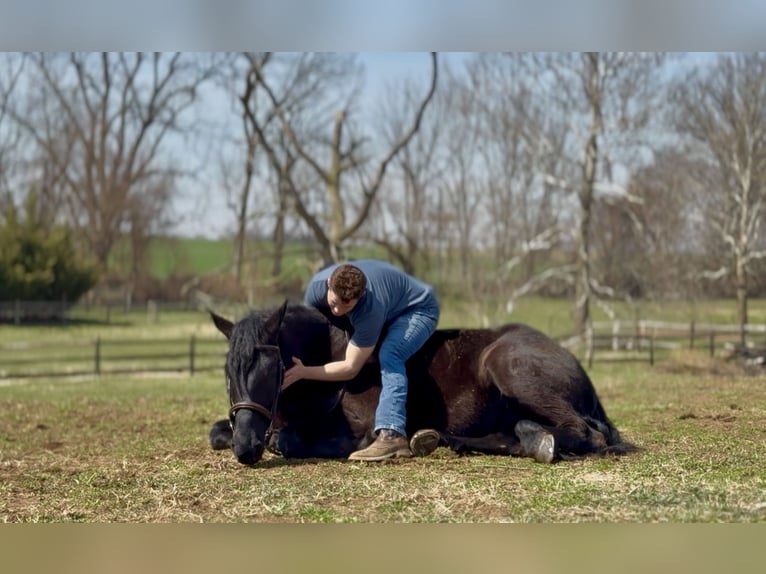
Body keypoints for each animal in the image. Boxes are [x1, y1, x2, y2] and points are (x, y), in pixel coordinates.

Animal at [208, 301, 636, 465]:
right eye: (228, 373)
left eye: (270, 370)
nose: (246, 449)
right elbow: (216, 432)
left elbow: (291, 440)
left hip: (510, 368)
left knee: (581, 432)